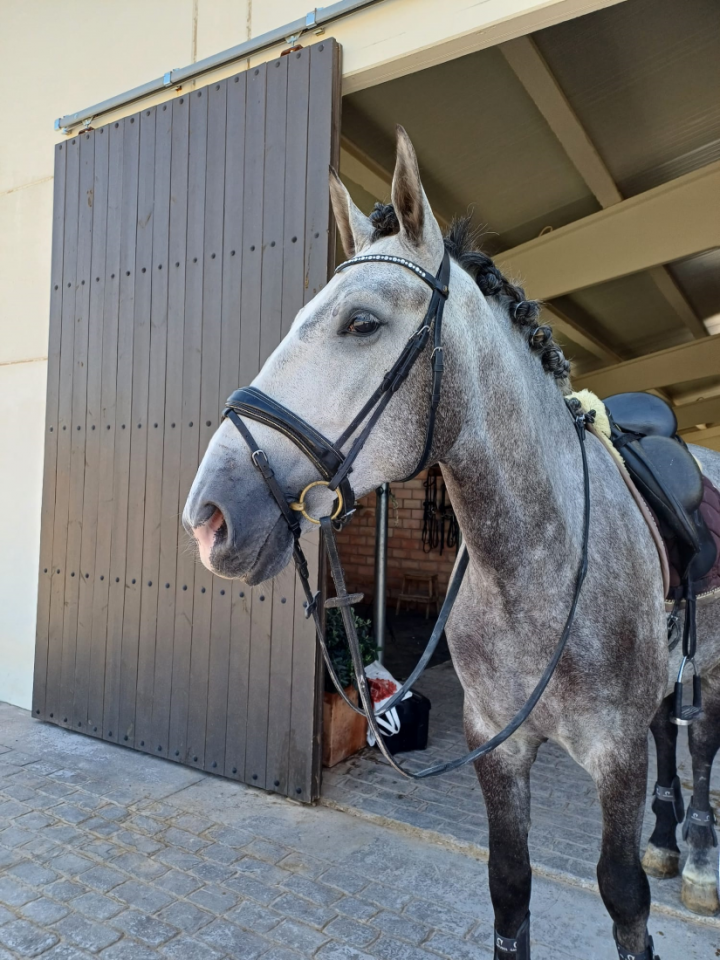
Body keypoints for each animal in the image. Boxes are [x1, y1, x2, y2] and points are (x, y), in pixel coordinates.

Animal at [184, 127, 720, 960]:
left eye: (362, 323)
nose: (210, 515)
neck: (536, 564)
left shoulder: (615, 751)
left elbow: (624, 897)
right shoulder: (495, 744)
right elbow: (510, 888)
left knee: (699, 744)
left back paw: (695, 854)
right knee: (672, 726)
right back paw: (667, 839)